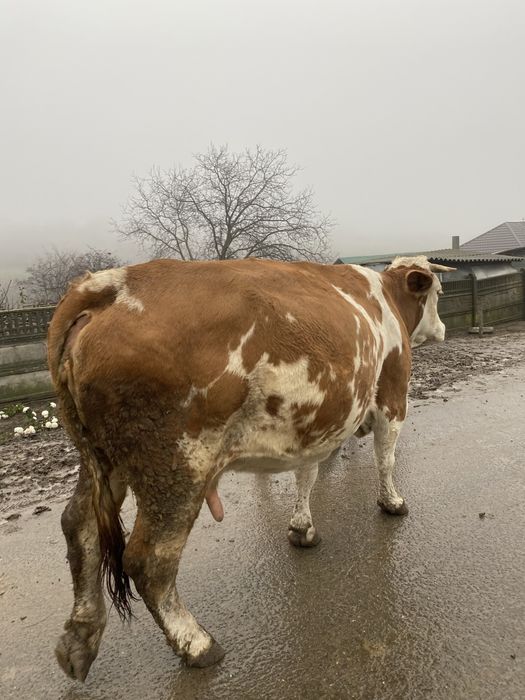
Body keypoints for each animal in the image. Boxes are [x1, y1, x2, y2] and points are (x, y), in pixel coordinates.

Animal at [47, 255, 451, 681]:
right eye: (438, 292)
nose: (442, 329)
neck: (384, 297)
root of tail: (107, 284)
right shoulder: (392, 395)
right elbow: (385, 458)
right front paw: (392, 503)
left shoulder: (313, 423)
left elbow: (306, 475)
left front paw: (302, 527)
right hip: (177, 466)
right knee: (149, 559)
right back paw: (195, 642)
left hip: (102, 459)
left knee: (79, 527)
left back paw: (80, 637)